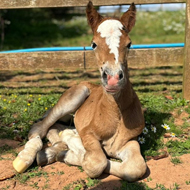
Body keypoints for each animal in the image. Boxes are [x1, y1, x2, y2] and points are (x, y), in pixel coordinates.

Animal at [13, 1, 147, 182]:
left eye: (129, 44)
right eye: (93, 44)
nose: (112, 78)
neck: (116, 113)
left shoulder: (129, 141)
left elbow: (135, 168)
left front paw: (61, 151)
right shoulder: (88, 133)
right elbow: (96, 162)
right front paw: (68, 149)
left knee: (53, 128)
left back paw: (49, 152)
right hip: (75, 96)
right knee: (38, 128)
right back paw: (25, 159)